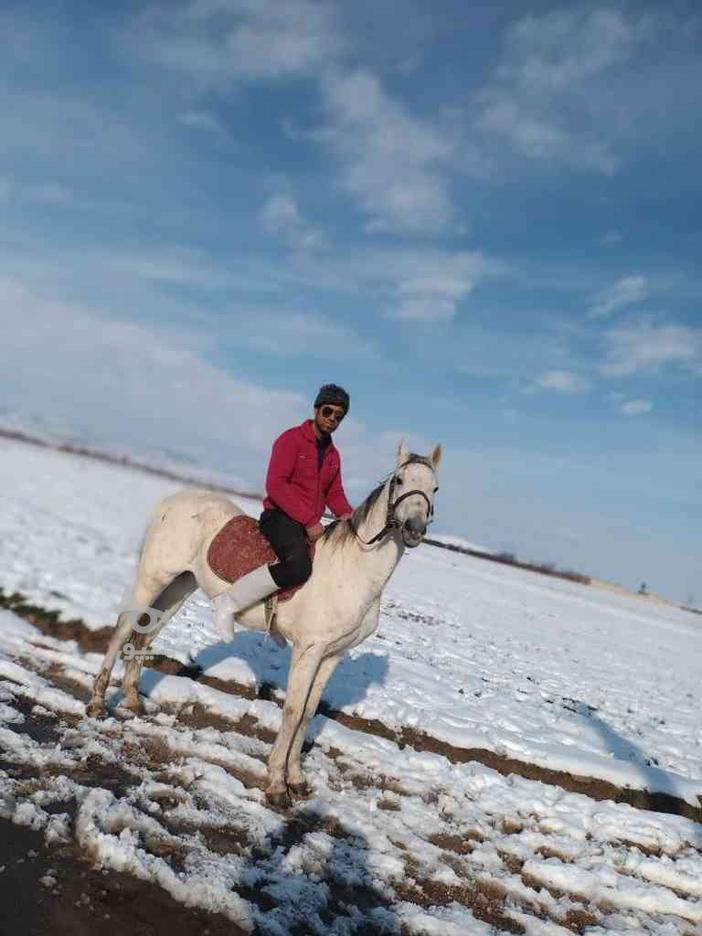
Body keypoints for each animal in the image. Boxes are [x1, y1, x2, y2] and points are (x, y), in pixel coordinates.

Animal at [86, 440, 440, 804]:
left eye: (435, 488)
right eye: (399, 480)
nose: (414, 529)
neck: (354, 569)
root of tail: (171, 501)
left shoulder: (332, 655)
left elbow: (309, 714)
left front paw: (297, 779)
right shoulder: (309, 649)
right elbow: (294, 712)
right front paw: (277, 785)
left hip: (180, 586)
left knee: (145, 637)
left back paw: (133, 700)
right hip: (153, 578)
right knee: (122, 630)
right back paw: (97, 703)